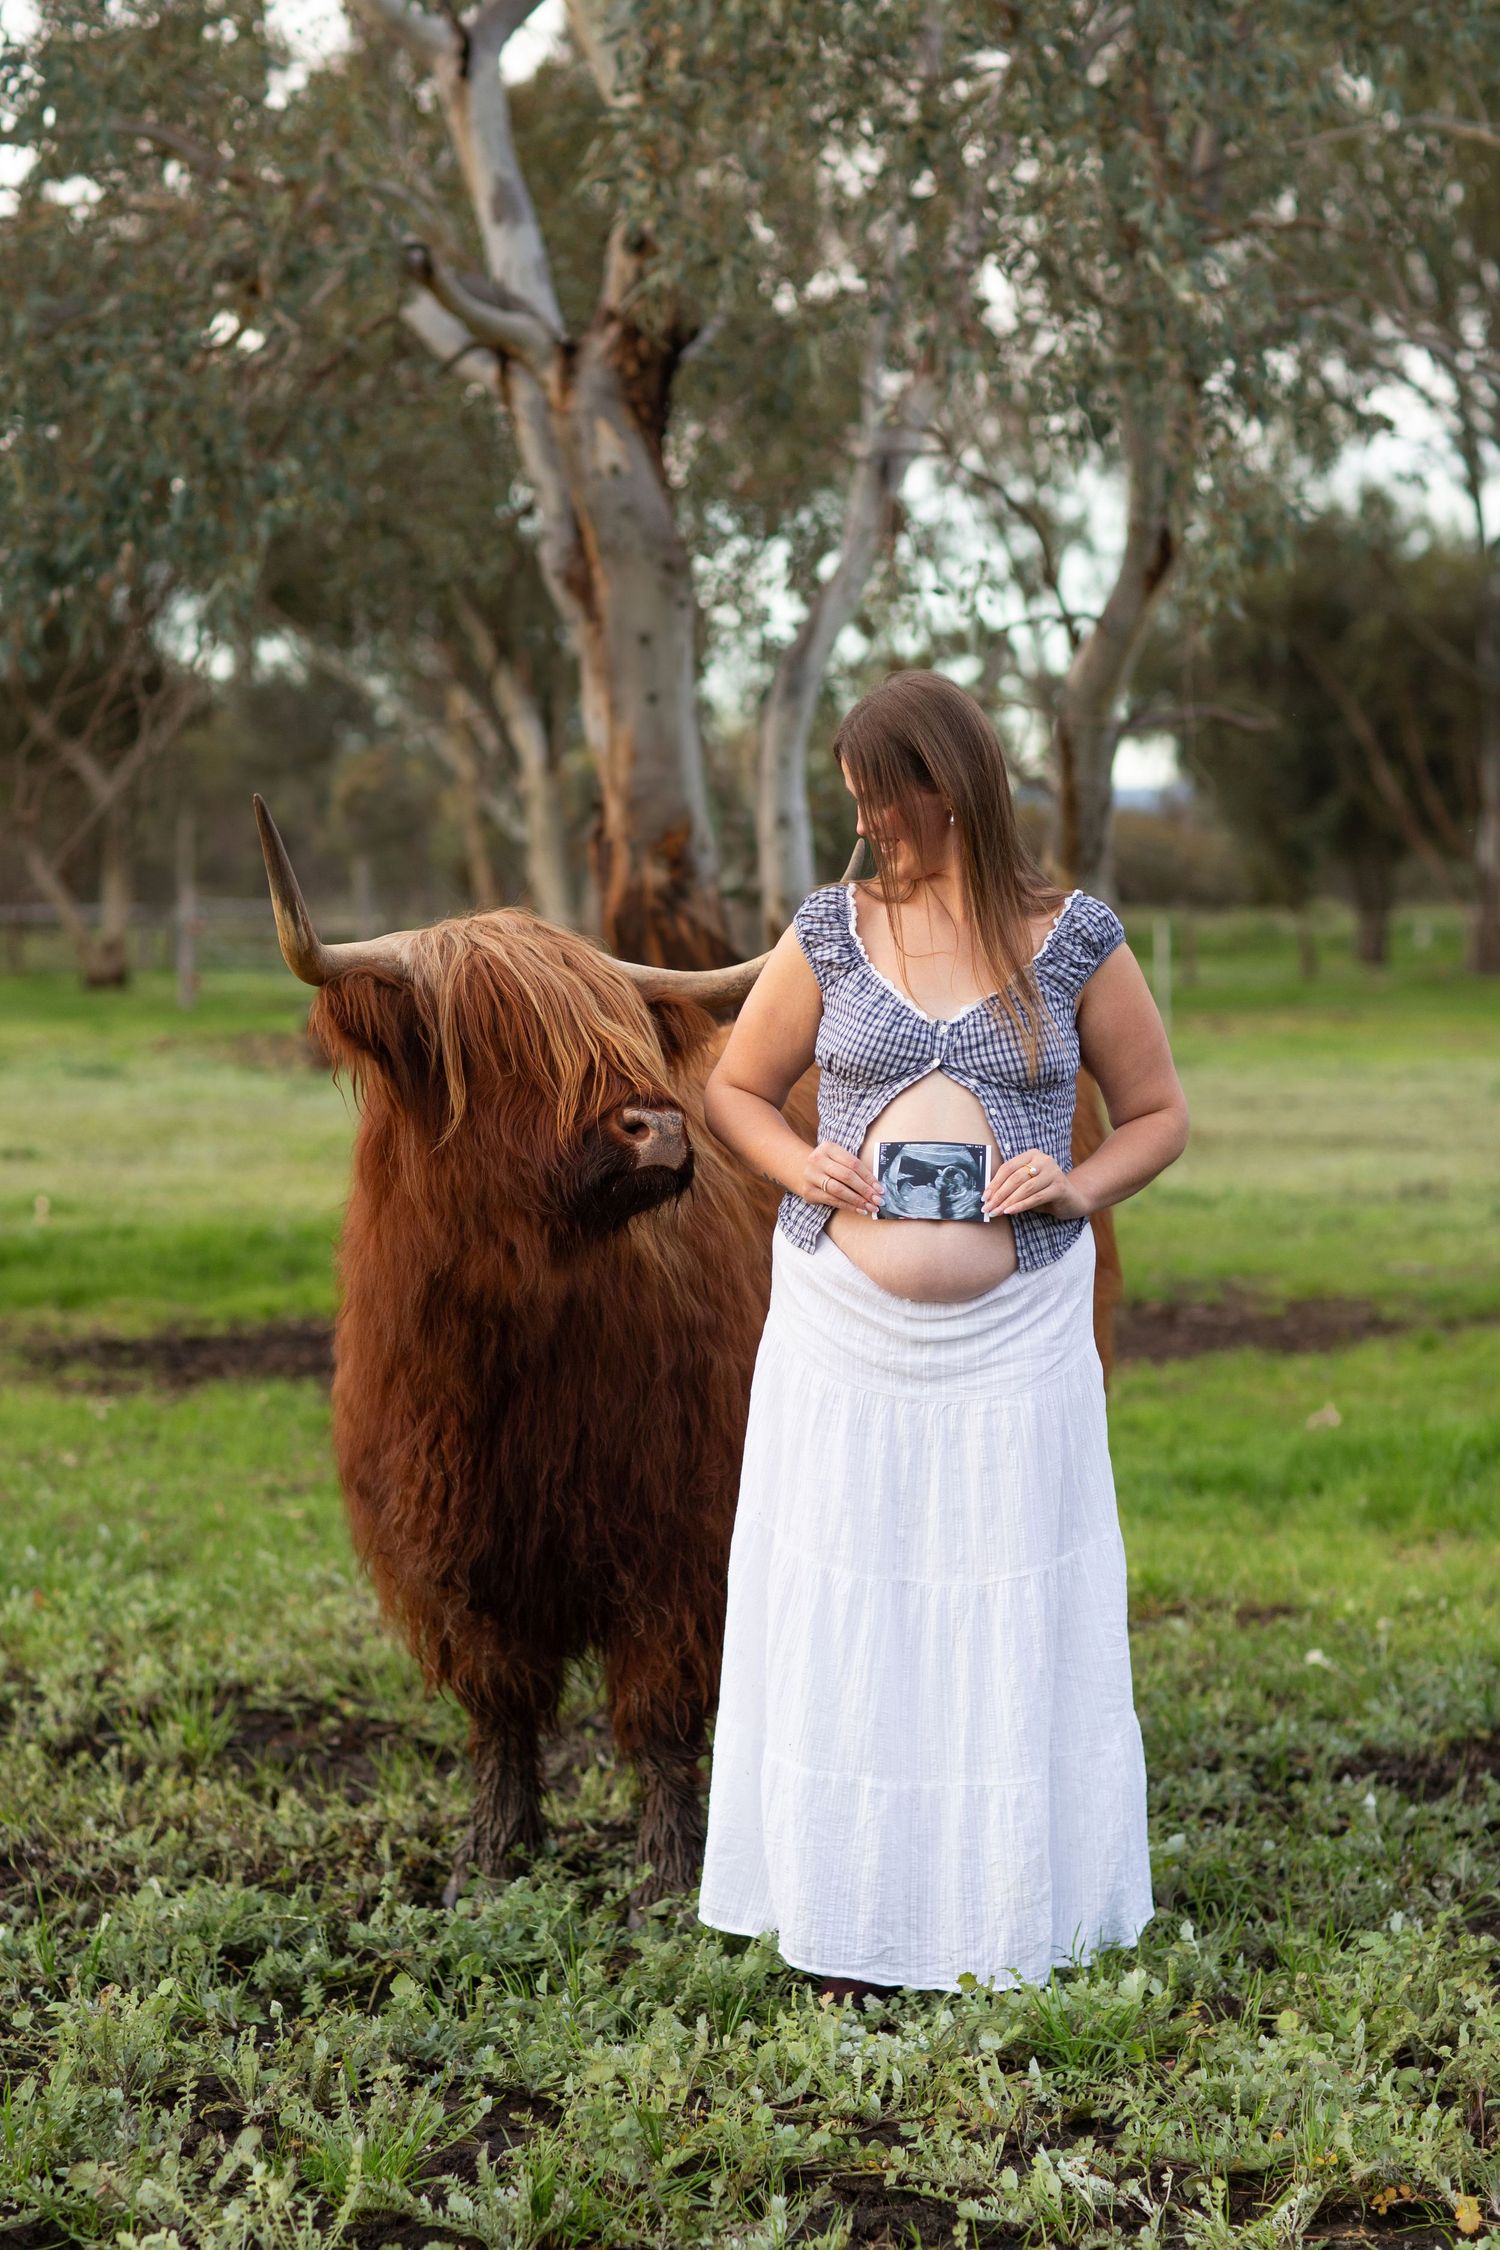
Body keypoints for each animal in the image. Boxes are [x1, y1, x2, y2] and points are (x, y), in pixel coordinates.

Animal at [253, 797, 1122, 1912]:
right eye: (491, 1043)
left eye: (619, 1027)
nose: (656, 1126)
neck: (509, 1356)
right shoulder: (451, 1544)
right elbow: (500, 1706)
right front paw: (490, 1858)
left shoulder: (677, 1531)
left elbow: (656, 1710)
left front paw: (668, 1875)